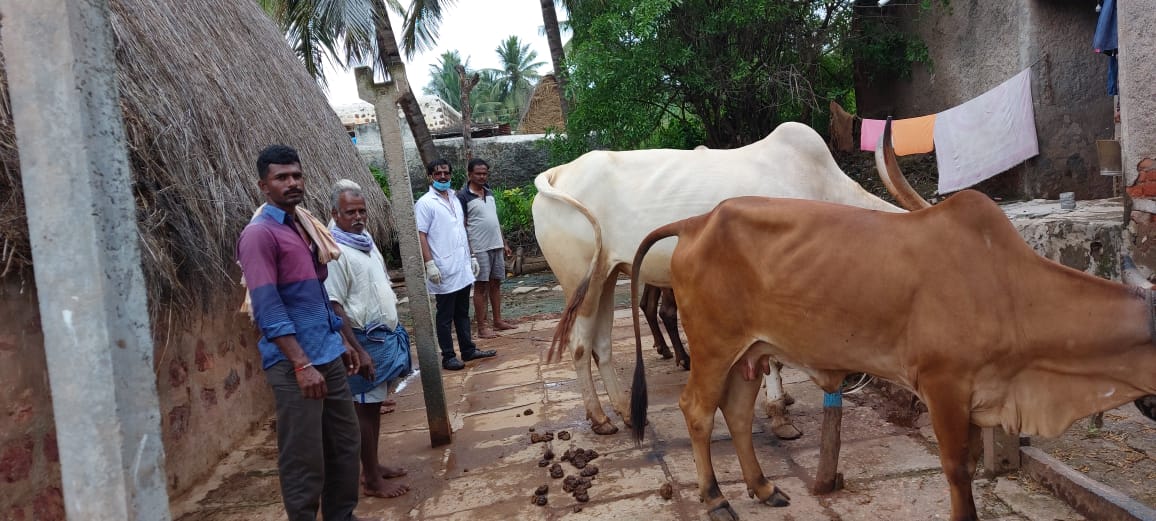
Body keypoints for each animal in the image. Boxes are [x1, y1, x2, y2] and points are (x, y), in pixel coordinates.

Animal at [531, 122, 901, 436]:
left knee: (602, 345)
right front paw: (780, 415)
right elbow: (773, 357)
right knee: (580, 346)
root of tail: (558, 173)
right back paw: (599, 418)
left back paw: (626, 412)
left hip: (606, 276)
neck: (820, 187)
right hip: (581, 283)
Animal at [633, 192, 1156, 521]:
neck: (1008, 287)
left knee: (738, 414)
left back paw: (763, 488)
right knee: (697, 411)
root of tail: (695, 223)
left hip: (751, 353)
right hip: (713, 347)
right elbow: (956, 472)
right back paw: (715, 499)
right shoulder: (944, 387)